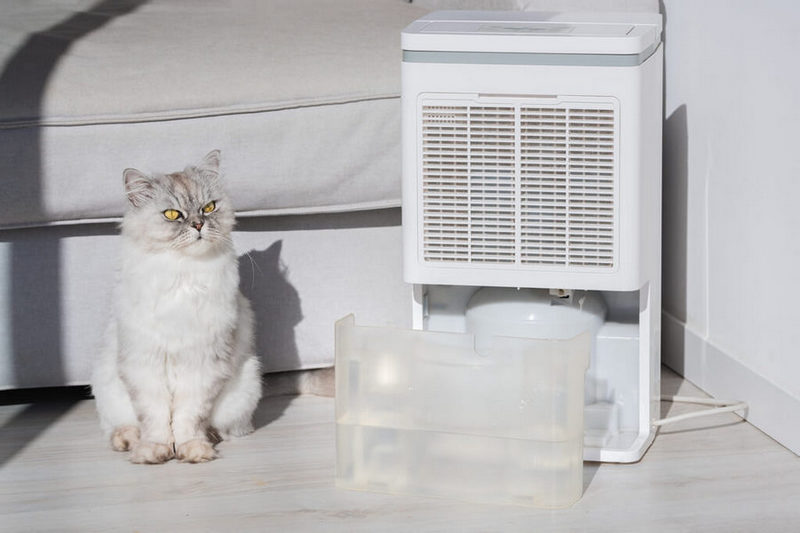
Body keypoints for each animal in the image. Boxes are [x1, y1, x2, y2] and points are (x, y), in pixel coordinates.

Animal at [91, 149, 260, 462]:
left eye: (209, 208)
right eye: (172, 214)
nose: (198, 225)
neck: (182, 273)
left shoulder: (202, 364)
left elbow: (187, 418)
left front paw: (191, 450)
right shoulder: (144, 363)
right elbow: (155, 419)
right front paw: (153, 451)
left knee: (222, 428)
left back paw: (209, 438)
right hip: (107, 387)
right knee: (120, 426)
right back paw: (129, 442)